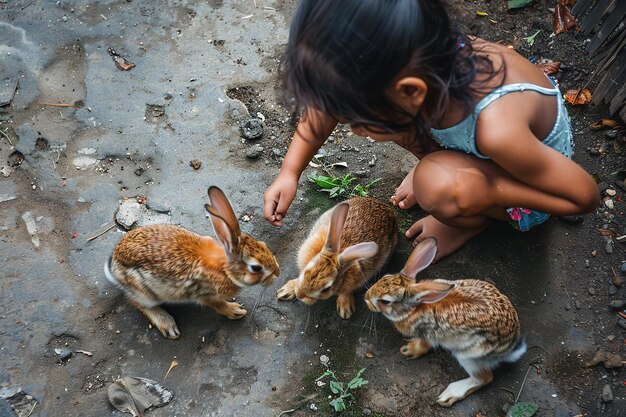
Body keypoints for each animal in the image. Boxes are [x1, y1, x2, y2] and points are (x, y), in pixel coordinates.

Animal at [103, 185, 280, 338]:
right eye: (256, 268)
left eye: (264, 245)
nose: (277, 273)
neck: (225, 269)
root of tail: (113, 266)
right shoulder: (206, 295)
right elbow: (218, 305)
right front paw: (235, 311)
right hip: (145, 292)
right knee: (138, 303)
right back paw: (167, 325)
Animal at [364, 237, 524, 406]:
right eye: (384, 277)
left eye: (385, 301)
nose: (366, 298)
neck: (414, 308)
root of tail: (509, 347)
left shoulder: (429, 333)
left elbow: (424, 344)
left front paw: (411, 350)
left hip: (467, 355)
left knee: (484, 378)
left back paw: (450, 394)